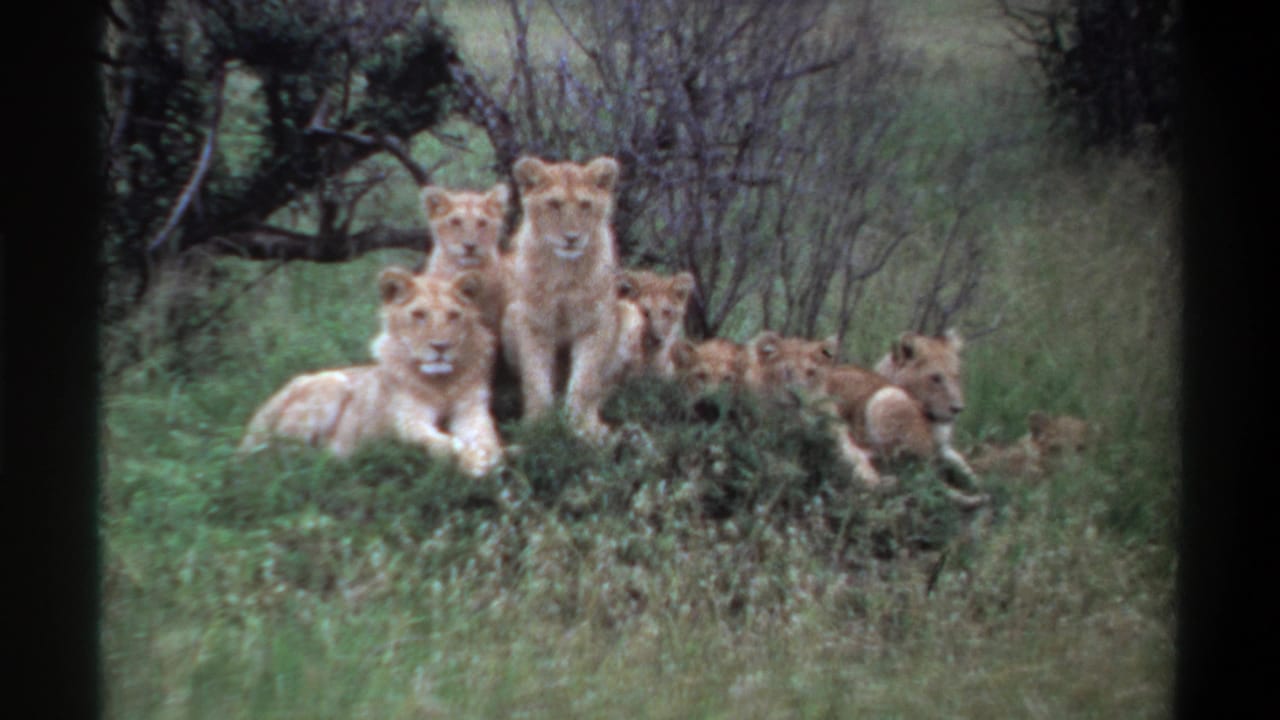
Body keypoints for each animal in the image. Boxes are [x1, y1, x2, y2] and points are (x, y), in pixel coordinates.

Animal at [239, 268, 503, 477]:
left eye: (454, 315)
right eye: (419, 315)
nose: (441, 347)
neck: (441, 383)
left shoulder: (472, 409)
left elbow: (486, 436)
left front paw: (491, 454)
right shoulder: (407, 420)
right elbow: (438, 442)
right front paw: (471, 460)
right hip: (332, 383)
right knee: (281, 456)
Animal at [501, 155, 623, 440]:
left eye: (585, 205)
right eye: (554, 204)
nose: (571, 238)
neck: (564, 272)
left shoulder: (596, 323)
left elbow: (585, 381)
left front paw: (582, 427)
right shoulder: (531, 322)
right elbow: (535, 379)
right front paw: (538, 426)